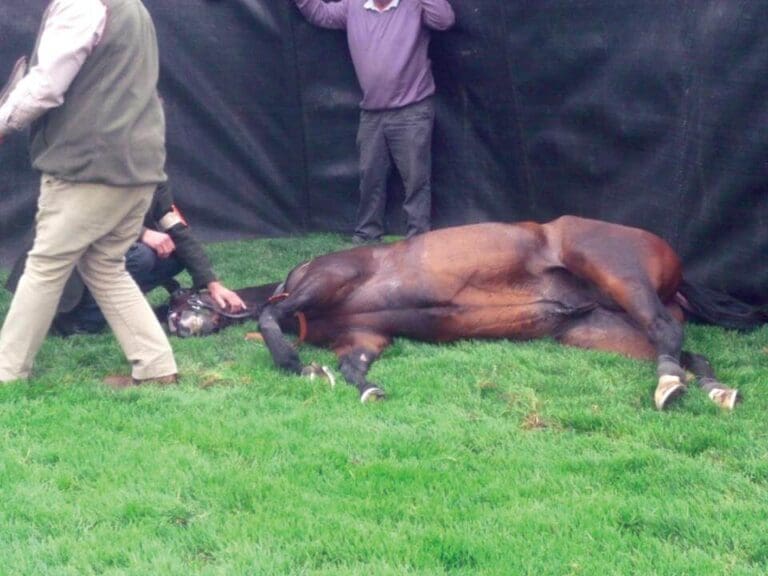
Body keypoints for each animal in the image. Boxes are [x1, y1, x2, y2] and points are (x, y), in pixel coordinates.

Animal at [253, 216, 765, 409]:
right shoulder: (363, 338)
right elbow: (351, 366)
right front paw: (365, 387)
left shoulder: (330, 280)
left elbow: (267, 317)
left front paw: (292, 361)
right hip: (599, 329)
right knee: (685, 352)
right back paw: (714, 390)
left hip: (617, 273)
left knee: (665, 334)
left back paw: (668, 385)